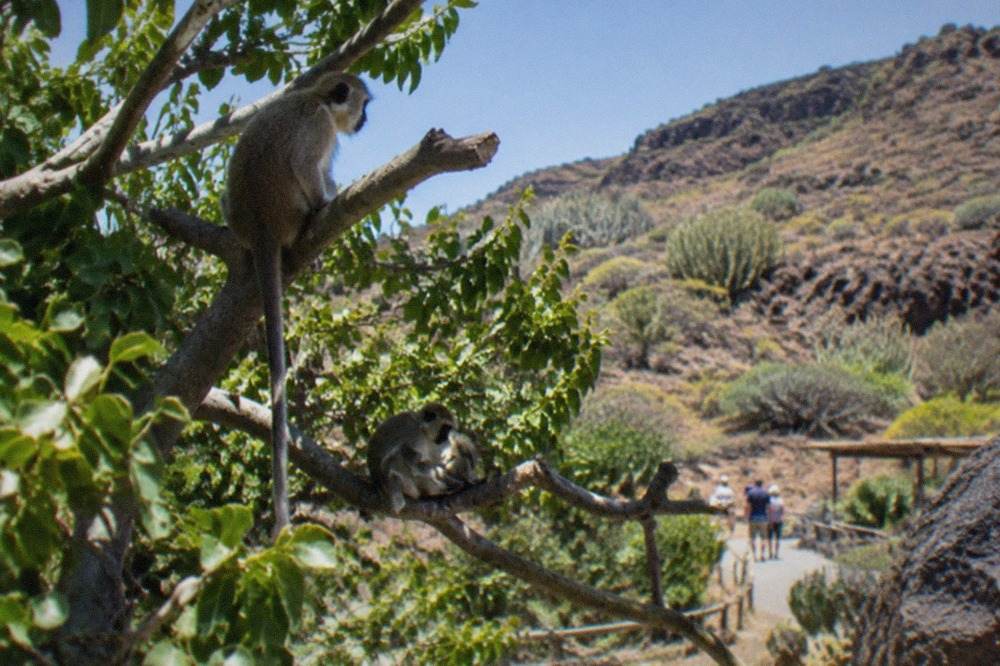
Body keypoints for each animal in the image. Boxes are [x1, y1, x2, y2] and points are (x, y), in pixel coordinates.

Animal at [224, 72, 370, 537]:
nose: (364, 120)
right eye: (362, 104)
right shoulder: (320, 126)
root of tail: (261, 228)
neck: (316, 97)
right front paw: (326, 199)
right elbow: (308, 167)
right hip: (290, 211)